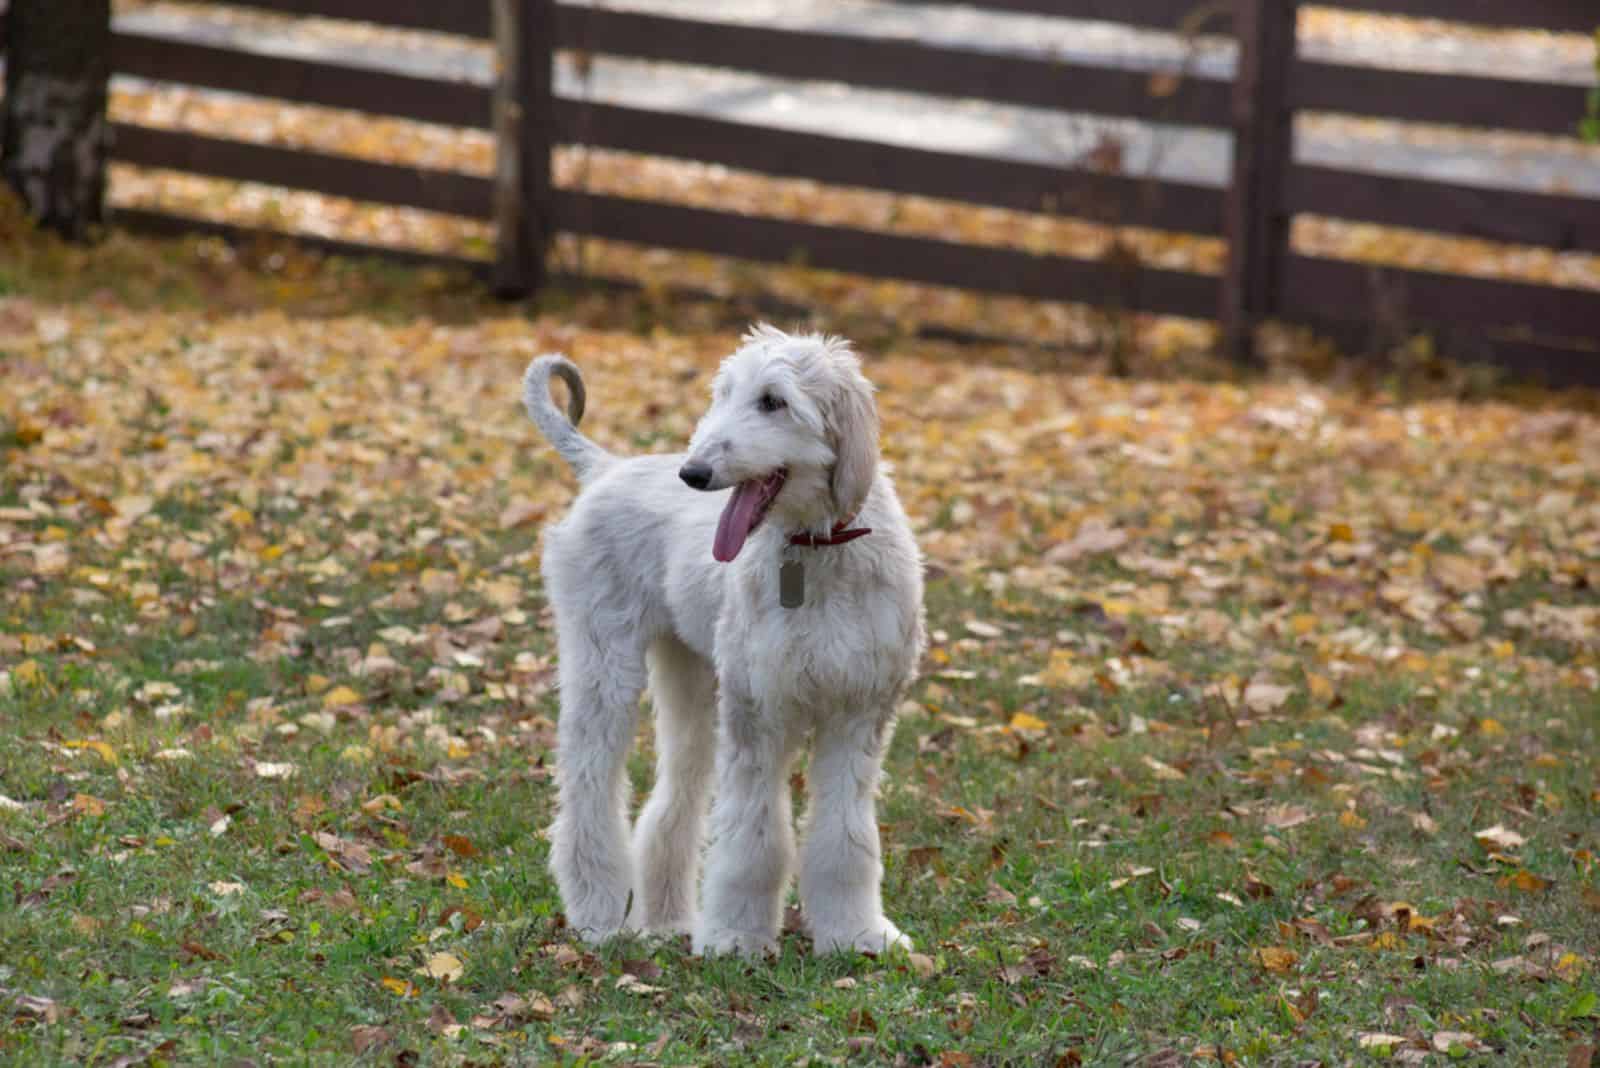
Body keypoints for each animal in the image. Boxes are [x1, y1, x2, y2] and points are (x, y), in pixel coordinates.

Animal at [524, 326, 928, 959]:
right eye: (725, 394)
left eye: (773, 401)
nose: (693, 473)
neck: (816, 548)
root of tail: (607, 468)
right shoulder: (758, 712)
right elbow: (753, 838)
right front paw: (738, 935)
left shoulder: (859, 711)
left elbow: (846, 836)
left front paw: (857, 933)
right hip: (604, 663)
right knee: (589, 790)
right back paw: (599, 913)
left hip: (692, 680)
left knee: (673, 802)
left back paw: (668, 921)